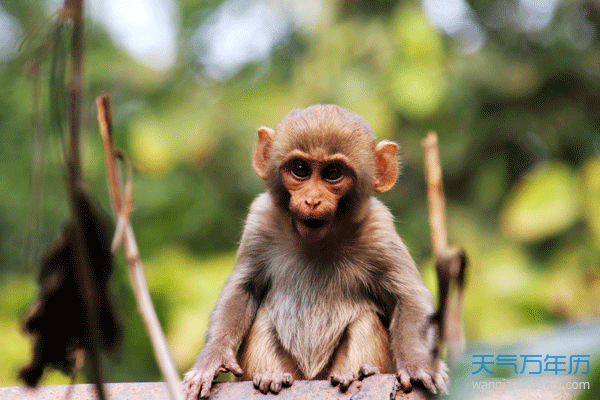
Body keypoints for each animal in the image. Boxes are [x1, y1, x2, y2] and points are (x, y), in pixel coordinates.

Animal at [183, 104, 446, 398]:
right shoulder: (260, 221)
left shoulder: (379, 230)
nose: (311, 201)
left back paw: (355, 373)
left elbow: (409, 298)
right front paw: (212, 358)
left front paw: (419, 365)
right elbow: (242, 289)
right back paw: (271, 376)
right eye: (300, 169)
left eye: (333, 173)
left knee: (364, 318)